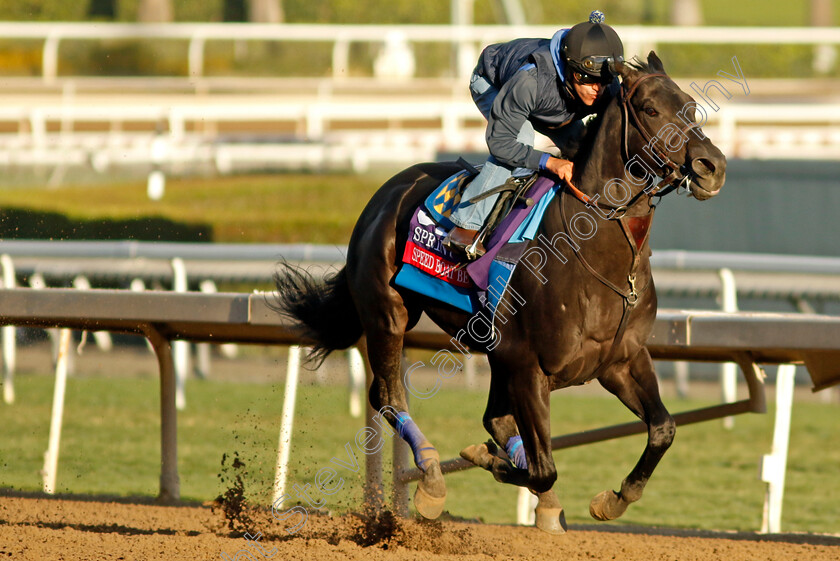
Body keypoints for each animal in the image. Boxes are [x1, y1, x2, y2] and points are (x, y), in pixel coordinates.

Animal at [272, 53, 724, 532]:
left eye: (691, 107)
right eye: (651, 109)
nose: (712, 166)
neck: (595, 255)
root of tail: (386, 192)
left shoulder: (620, 361)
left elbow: (663, 428)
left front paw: (612, 499)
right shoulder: (528, 366)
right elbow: (544, 469)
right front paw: (483, 463)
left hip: (494, 349)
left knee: (493, 417)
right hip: (388, 314)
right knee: (388, 396)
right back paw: (431, 475)